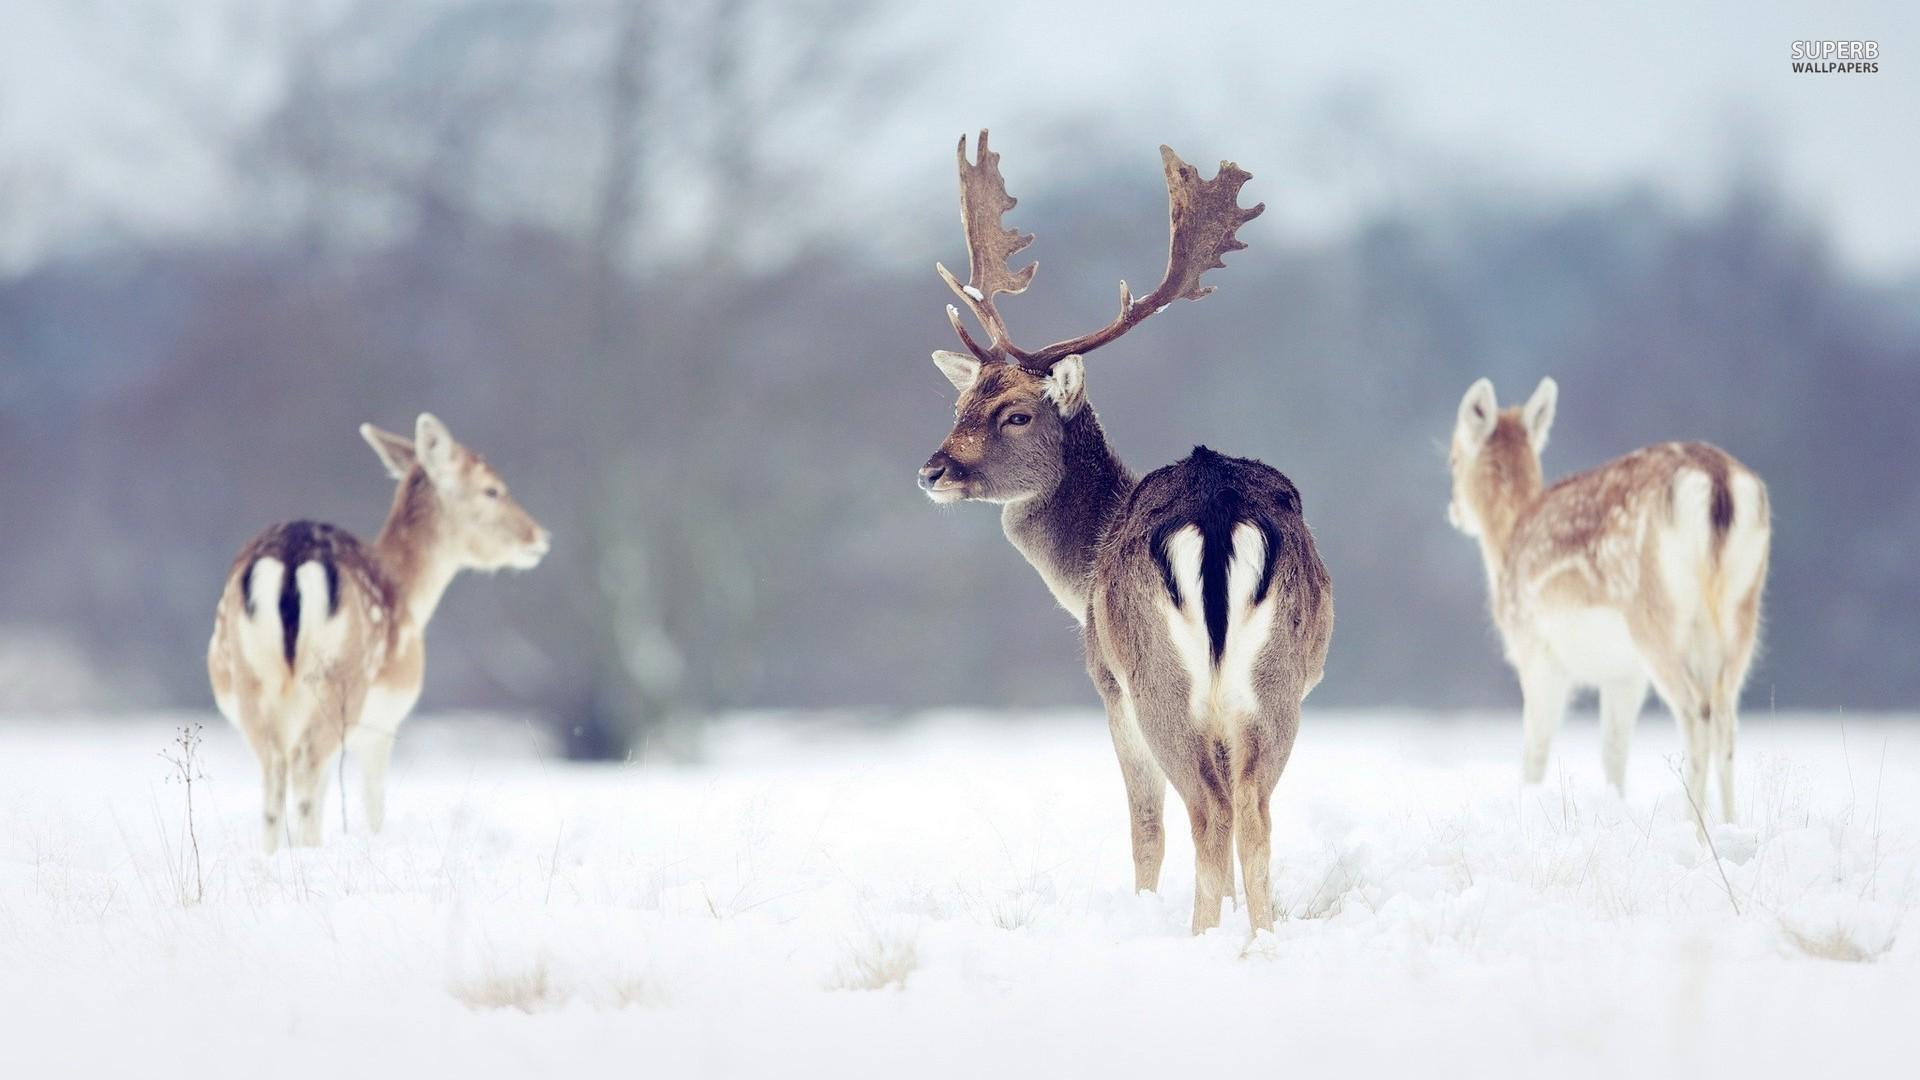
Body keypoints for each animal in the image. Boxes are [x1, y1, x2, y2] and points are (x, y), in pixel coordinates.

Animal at [207, 413, 550, 852]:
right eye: (492, 489)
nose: (538, 536)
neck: (411, 594)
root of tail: (292, 560)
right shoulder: (384, 722)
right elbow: (373, 805)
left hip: (250, 678)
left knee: (274, 773)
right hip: (341, 684)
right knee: (305, 765)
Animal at [916, 132, 1334, 934]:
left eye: (1017, 413)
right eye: (960, 402)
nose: (931, 469)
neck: (1082, 566)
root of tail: (1216, 509)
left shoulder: (1107, 685)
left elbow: (1144, 827)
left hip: (1157, 681)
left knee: (1205, 811)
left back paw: (1200, 936)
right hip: (1279, 683)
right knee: (1253, 812)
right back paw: (1258, 939)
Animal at [1446, 377, 1770, 829]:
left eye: (1453, 459)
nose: (1453, 510)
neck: (1506, 544)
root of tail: (1719, 481)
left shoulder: (1537, 651)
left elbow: (1535, 753)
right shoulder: (1623, 673)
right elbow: (1613, 754)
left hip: (1655, 616)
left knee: (1696, 710)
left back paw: (1695, 829)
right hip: (1741, 610)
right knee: (1726, 717)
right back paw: (1730, 827)